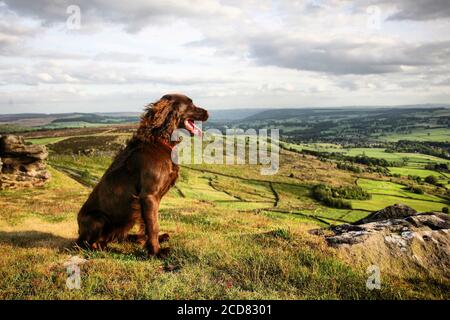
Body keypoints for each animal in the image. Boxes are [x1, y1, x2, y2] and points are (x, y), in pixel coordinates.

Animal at [77, 94, 209, 256]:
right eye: (190, 103)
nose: (208, 113)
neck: (160, 140)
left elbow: (150, 224)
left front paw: (153, 243)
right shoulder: (149, 195)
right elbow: (153, 225)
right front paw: (157, 252)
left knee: (118, 237)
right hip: (98, 218)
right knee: (87, 244)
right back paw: (101, 248)